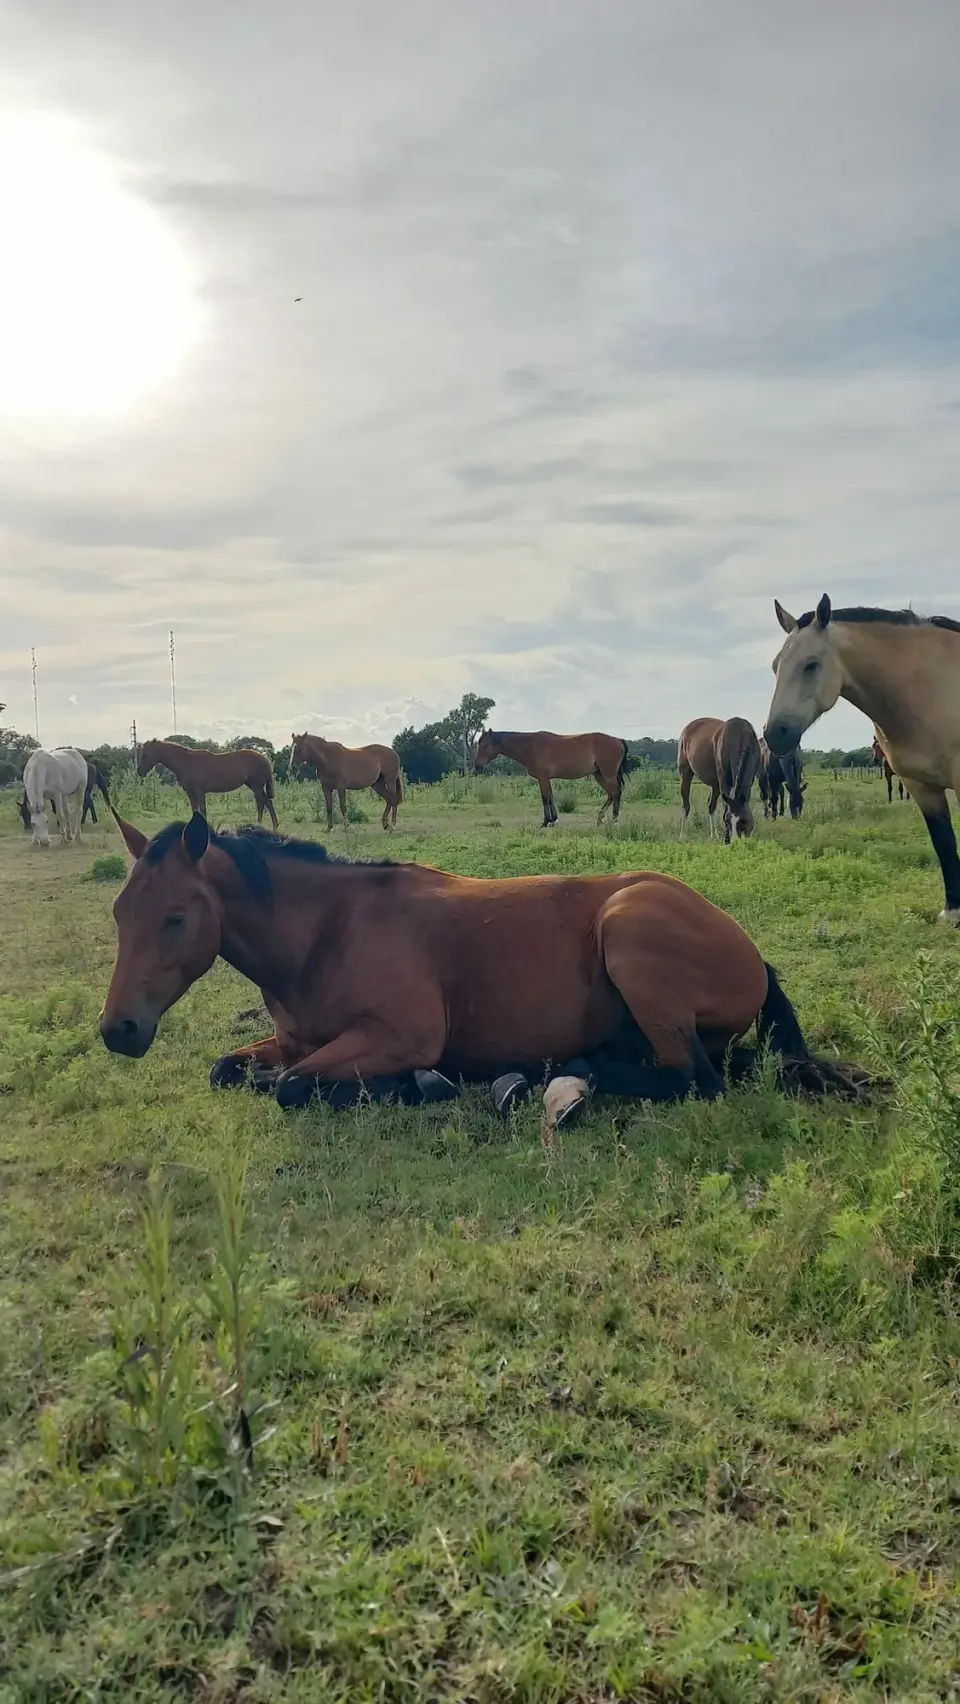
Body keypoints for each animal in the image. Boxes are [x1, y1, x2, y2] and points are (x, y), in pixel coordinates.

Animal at [99, 812, 865, 1105]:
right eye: (119, 913)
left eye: (174, 917)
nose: (118, 1030)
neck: (326, 933)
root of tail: (752, 953)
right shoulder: (294, 1041)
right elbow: (229, 1069)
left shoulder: (401, 1037)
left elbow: (288, 1086)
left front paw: (414, 1085)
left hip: (627, 929)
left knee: (692, 1078)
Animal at [137, 739, 278, 830]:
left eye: (145, 755)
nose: (139, 772)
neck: (186, 762)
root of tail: (265, 759)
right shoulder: (190, 792)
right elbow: (195, 810)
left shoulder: (199, 791)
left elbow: (203, 810)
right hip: (253, 785)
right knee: (265, 802)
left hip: (256, 786)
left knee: (263, 803)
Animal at [473, 729, 629, 828]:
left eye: (485, 745)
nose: (477, 766)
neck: (530, 746)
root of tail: (618, 740)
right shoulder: (545, 779)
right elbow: (550, 797)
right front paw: (553, 820)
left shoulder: (542, 778)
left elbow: (545, 798)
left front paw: (546, 822)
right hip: (599, 775)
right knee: (611, 794)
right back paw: (600, 819)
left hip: (607, 774)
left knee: (616, 792)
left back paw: (613, 820)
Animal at [765, 595, 960, 922]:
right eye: (776, 666)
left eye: (812, 665)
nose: (774, 735)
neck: (931, 689)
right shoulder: (920, 787)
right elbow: (944, 843)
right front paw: (952, 912)